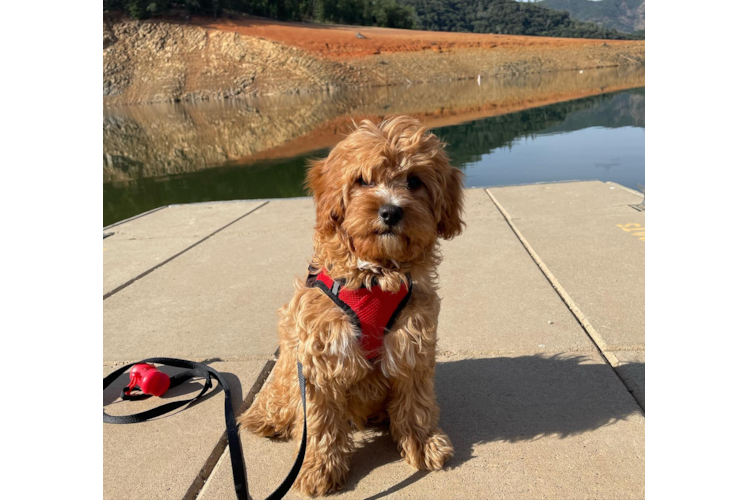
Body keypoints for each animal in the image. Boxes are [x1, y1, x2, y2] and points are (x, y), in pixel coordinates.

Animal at [238, 116, 462, 496]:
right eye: (362, 180)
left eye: (414, 181)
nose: (391, 211)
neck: (375, 276)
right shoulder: (320, 354)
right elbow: (319, 420)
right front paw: (317, 467)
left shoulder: (411, 343)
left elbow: (414, 401)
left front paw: (421, 442)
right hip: (289, 366)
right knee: (281, 395)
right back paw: (265, 418)